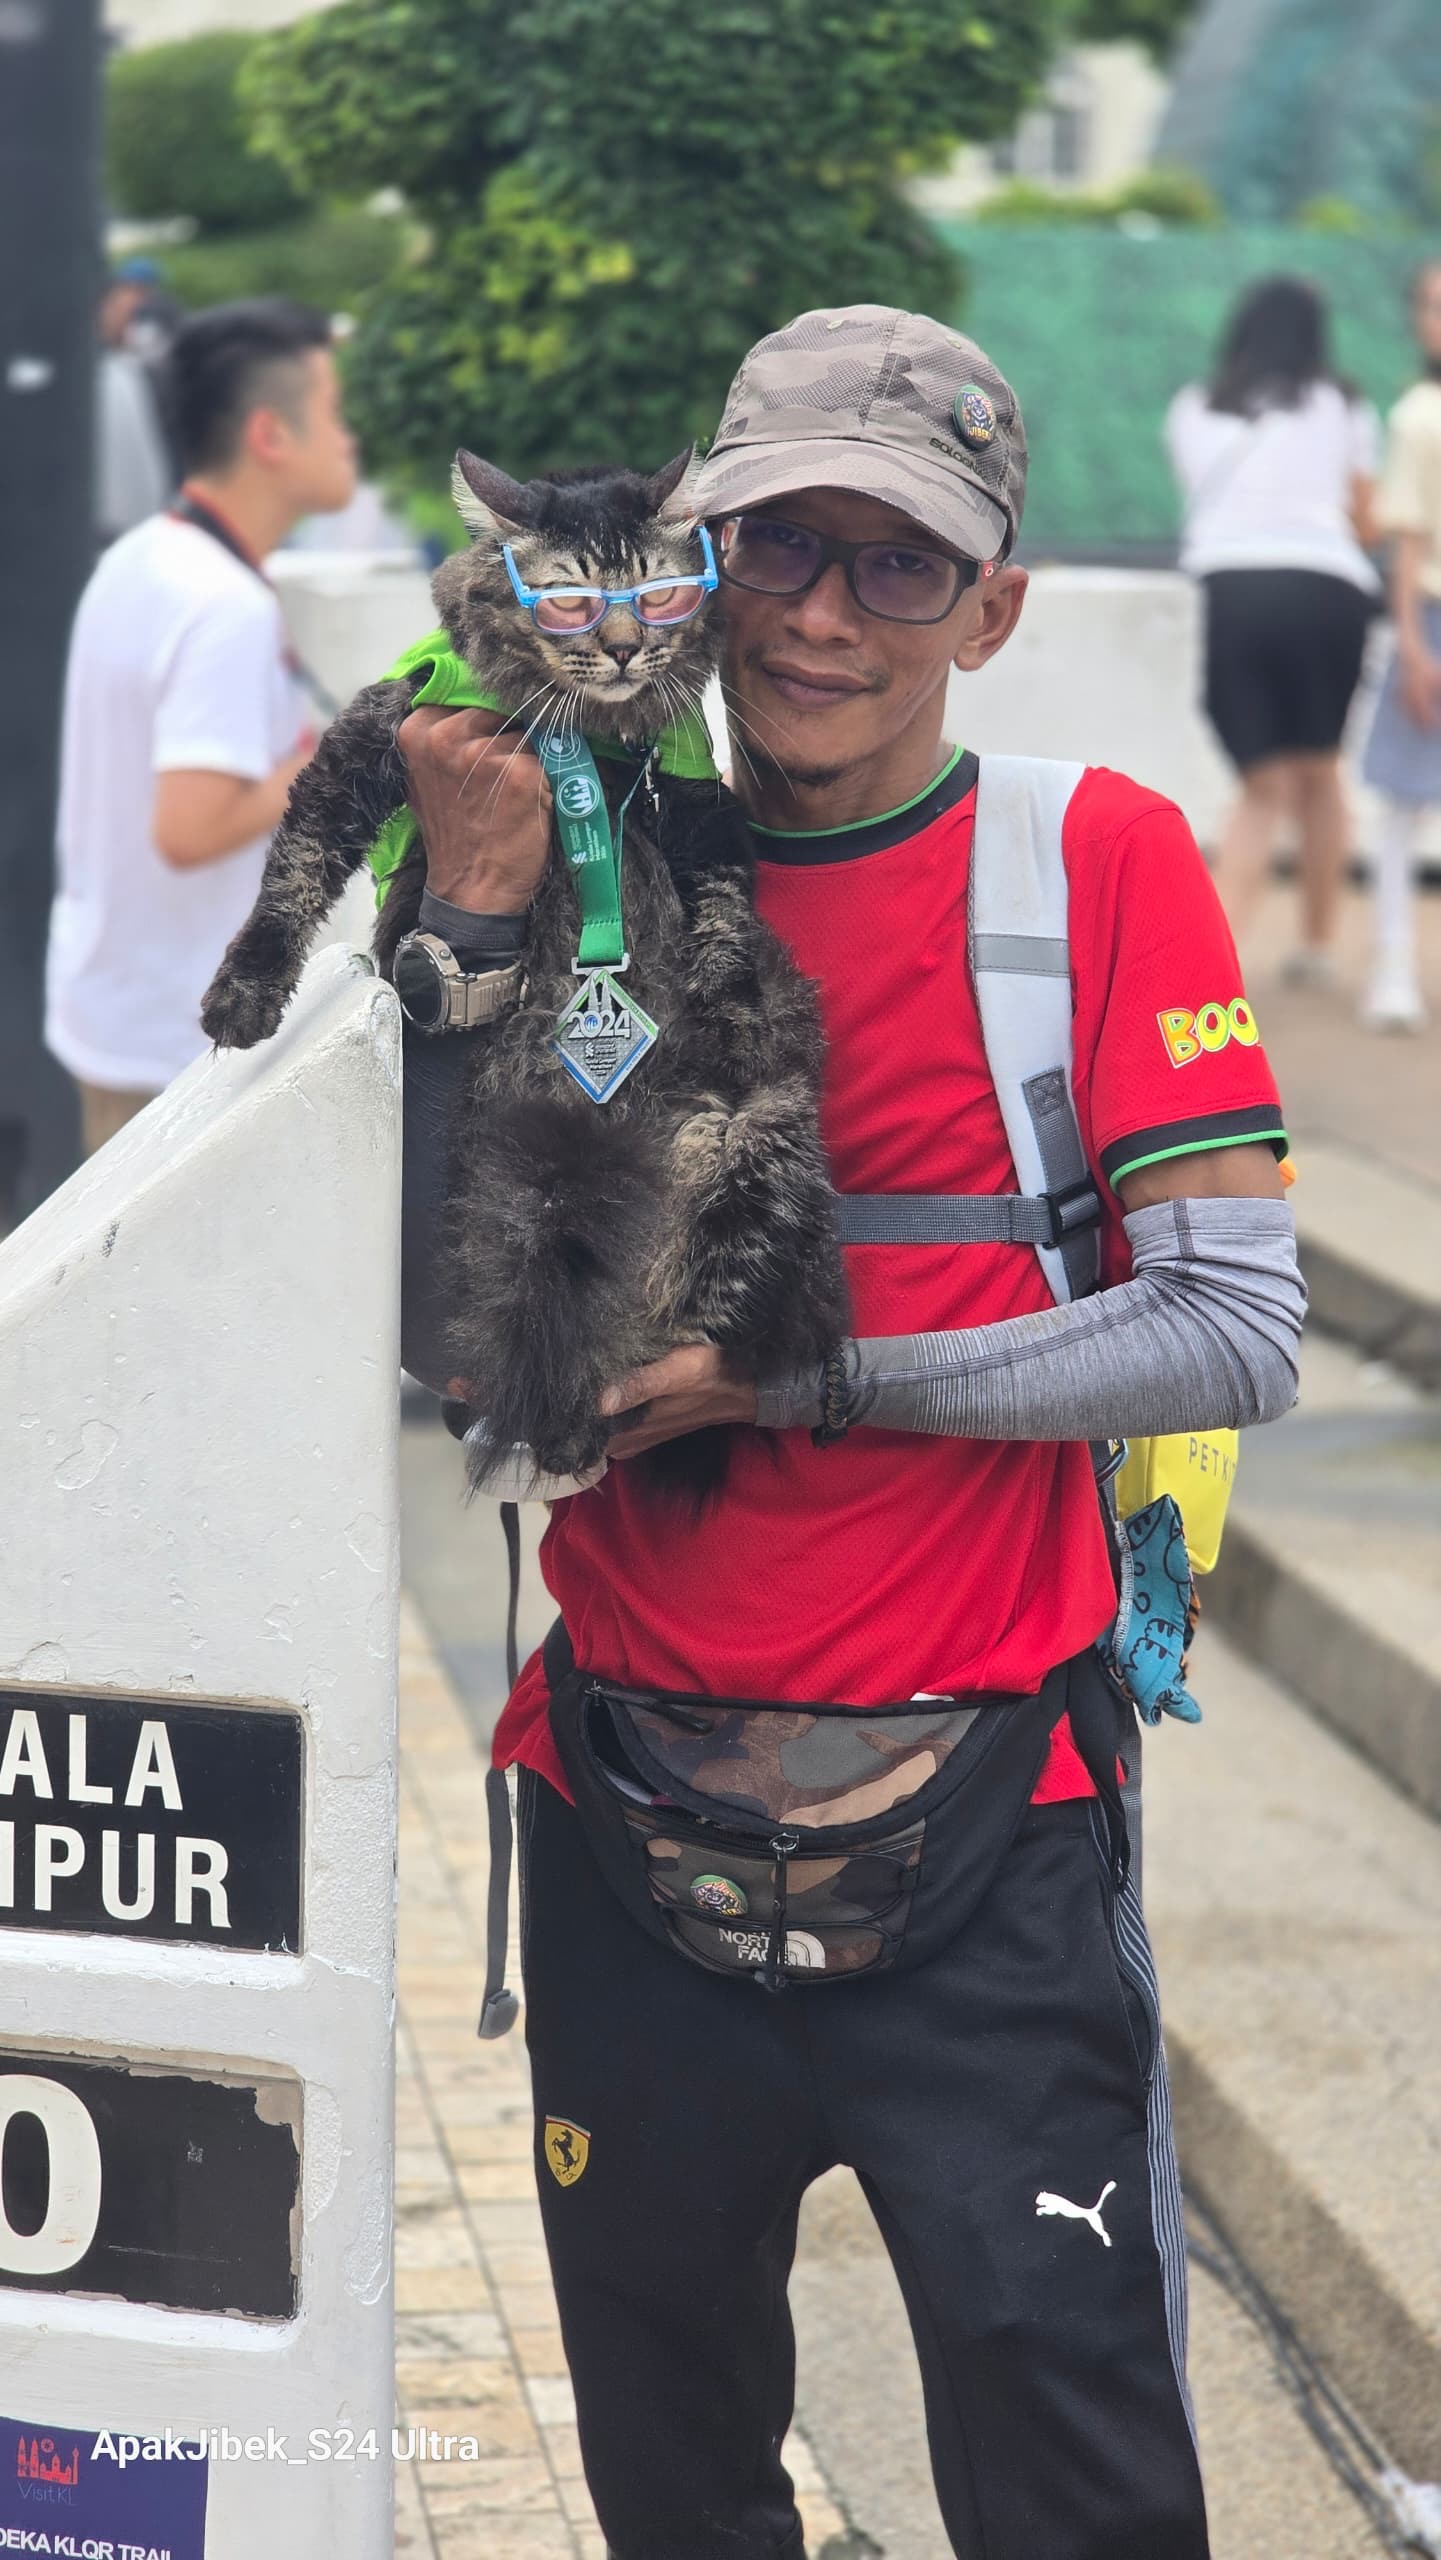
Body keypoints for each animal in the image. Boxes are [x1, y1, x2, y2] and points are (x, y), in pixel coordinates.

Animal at [204, 450, 854, 1495]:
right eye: (570, 602)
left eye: (657, 594)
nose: (626, 650)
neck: (590, 740)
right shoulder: (373, 735)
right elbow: (292, 872)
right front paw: (242, 999)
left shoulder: (697, 802)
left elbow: (722, 910)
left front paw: (726, 1000)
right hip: (507, 1204)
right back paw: (568, 1429)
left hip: (749, 1136)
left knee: (725, 1326)